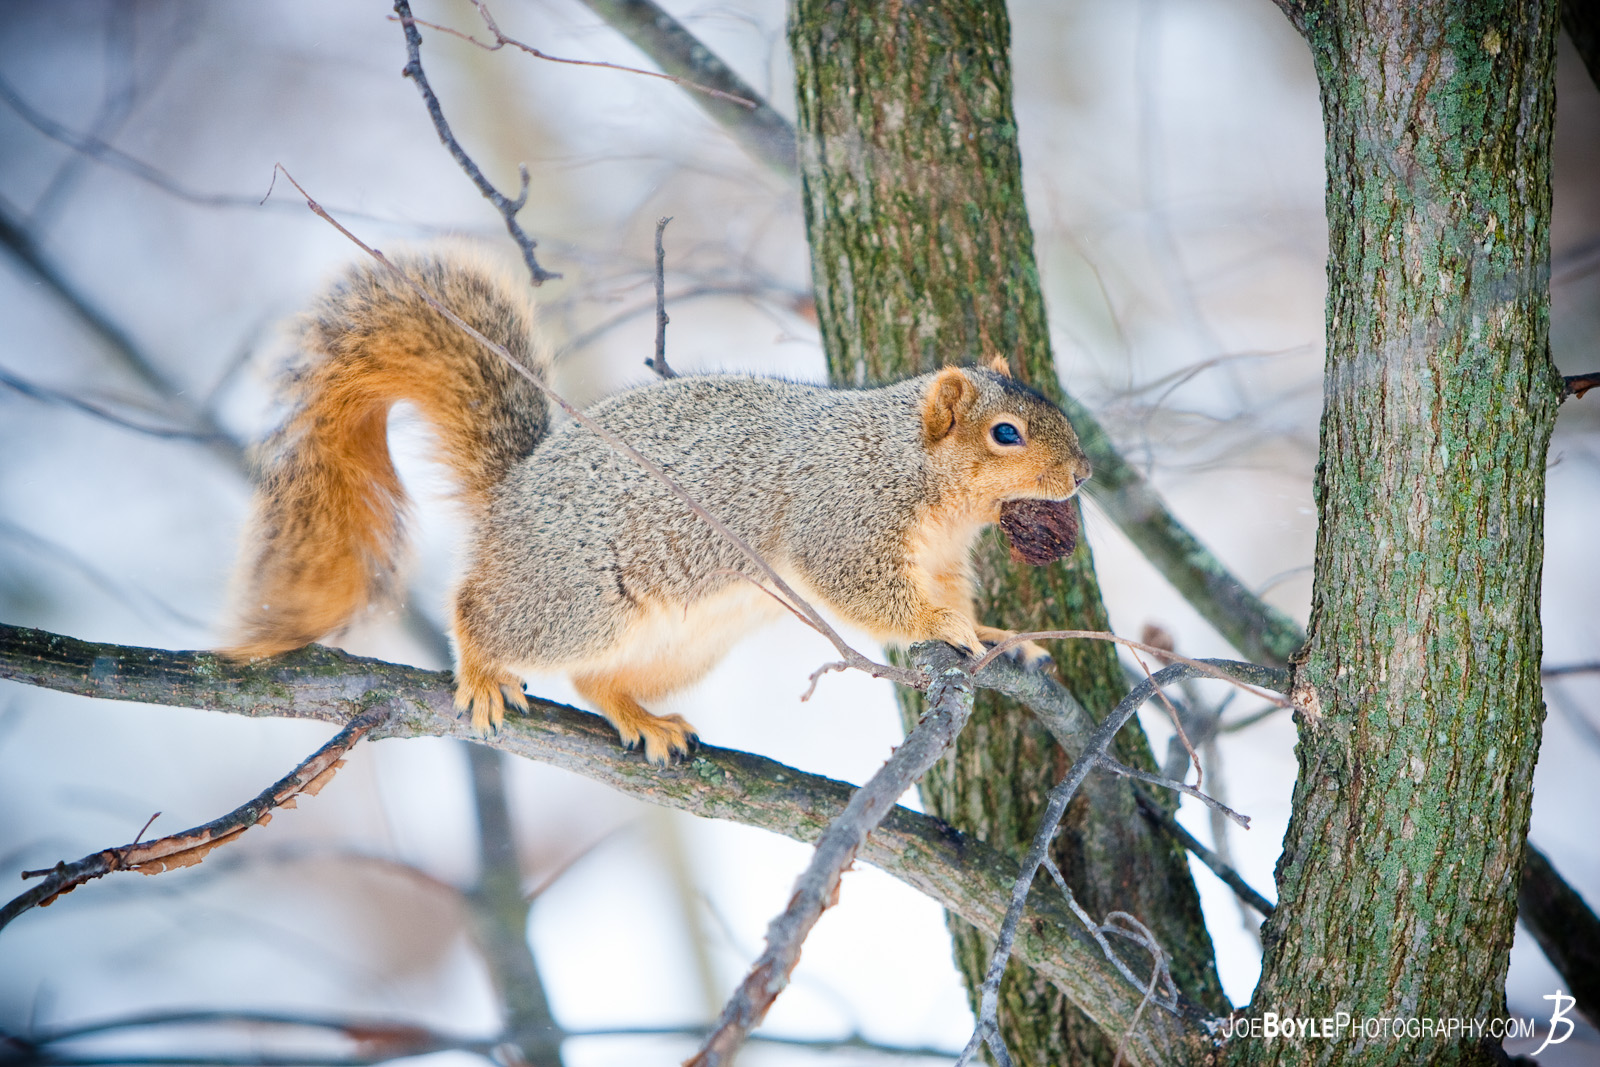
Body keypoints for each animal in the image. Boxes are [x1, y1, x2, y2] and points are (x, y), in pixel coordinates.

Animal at [225, 248, 1093, 763]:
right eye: (1006, 433)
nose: (1084, 472)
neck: (922, 476)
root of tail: (516, 492)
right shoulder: (842, 511)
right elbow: (865, 588)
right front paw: (943, 625)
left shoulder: (941, 554)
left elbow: (953, 597)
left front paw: (997, 635)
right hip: (575, 599)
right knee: (483, 611)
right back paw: (483, 670)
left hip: (681, 644)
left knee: (595, 680)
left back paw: (642, 718)